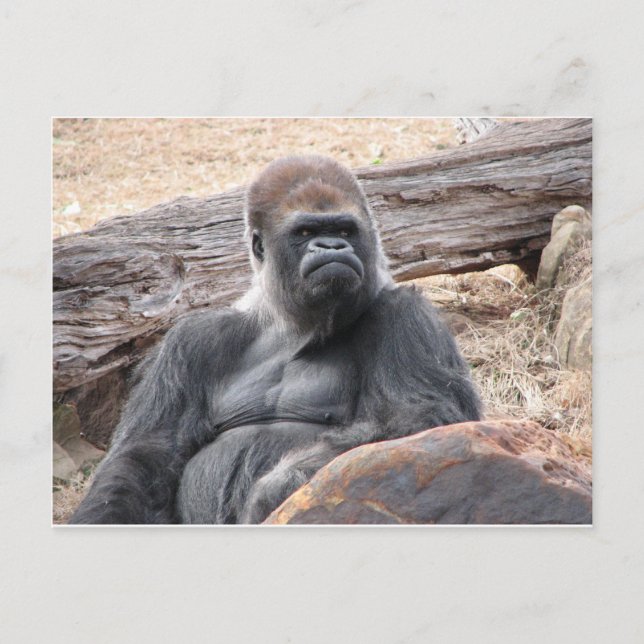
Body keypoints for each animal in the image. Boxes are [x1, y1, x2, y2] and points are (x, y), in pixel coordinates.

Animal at [70, 155, 481, 524]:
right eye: (305, 233)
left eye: (344, 230)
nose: (333, 247)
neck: (292, 325)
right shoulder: (189, 342)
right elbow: (142, 456)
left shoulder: (409, 317)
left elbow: (422, 420)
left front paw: (276, 488)